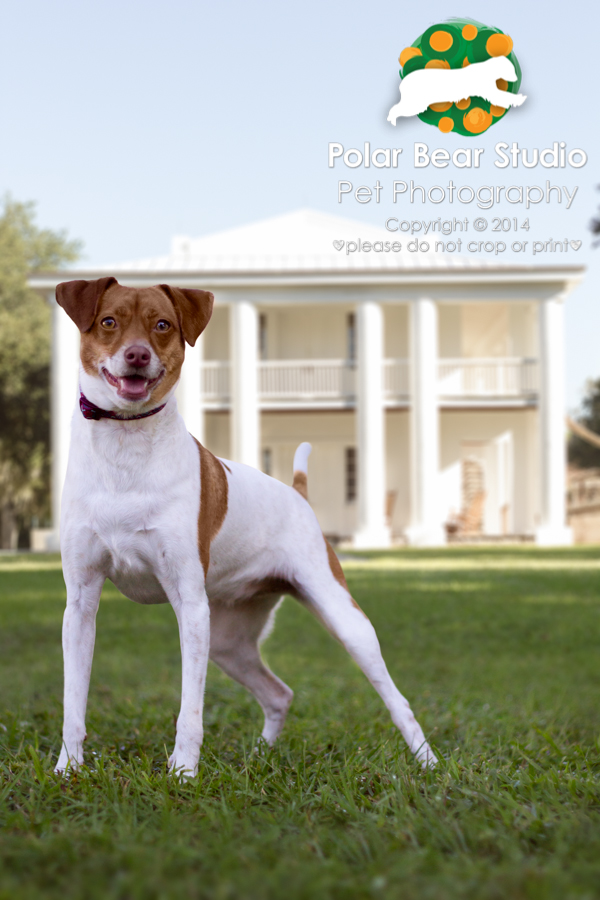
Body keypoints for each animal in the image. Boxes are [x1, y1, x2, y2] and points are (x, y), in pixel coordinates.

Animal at [55, 278, 436, 776]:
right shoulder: (81, 604)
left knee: (396, 700)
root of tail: (298, 493)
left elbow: (190, 710)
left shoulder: (190, 604)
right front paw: (67, 769)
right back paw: (261, 754)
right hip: (229, 642)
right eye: (108, 321)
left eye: (163, 325)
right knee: (279, 694)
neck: (125, 447)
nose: (137, 355)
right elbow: (73, 702)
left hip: (343, 619)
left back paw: (428, 763)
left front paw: (183, 772)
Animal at [390, 55, 524, 125]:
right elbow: (503, 96)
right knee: (395, 109)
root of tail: (403, 83)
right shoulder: (488, 90)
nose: (517, 78)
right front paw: (519, 99)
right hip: (415, 103)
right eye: (511, 70)